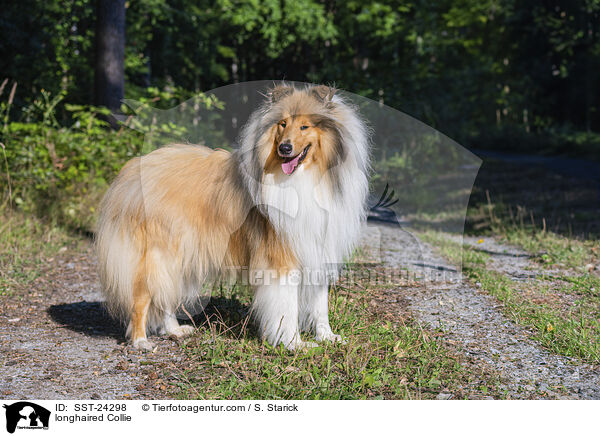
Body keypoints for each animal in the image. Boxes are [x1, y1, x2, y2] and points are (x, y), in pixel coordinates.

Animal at [96, 84, 370, 350]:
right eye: (282, 124)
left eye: (305, 126)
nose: (285, 148)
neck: (307, 178)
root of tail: (131, 173)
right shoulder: (281, 256)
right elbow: (287, 307)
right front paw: (294, 344)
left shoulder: (318, 249)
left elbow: (320, 305)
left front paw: (327, 338)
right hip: (159, 253)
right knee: (142, 297)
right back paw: (140, 341)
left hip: (182, 255)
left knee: (165, 294)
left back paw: (174, 330)